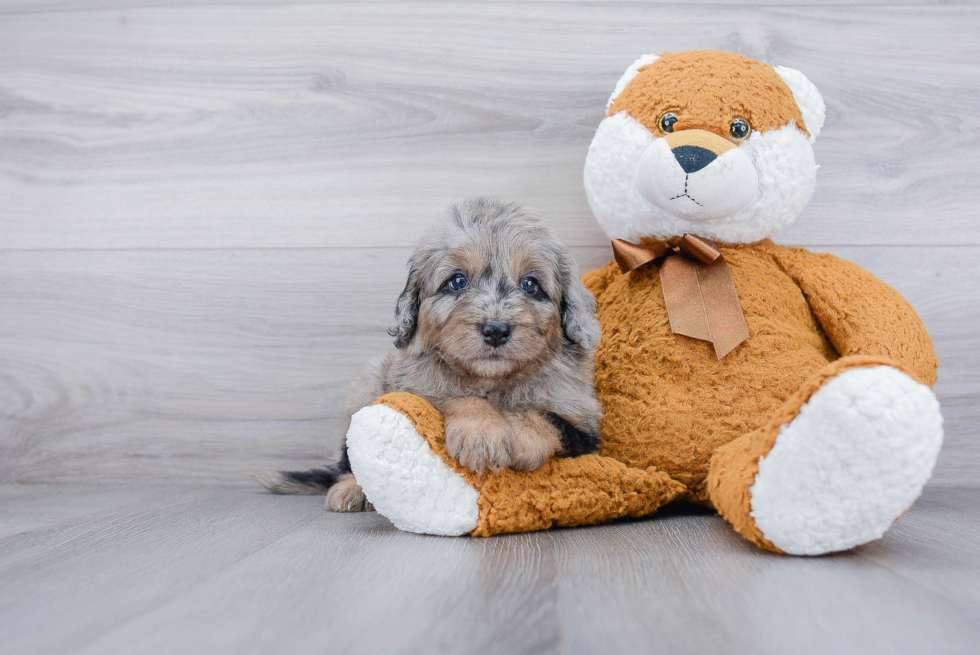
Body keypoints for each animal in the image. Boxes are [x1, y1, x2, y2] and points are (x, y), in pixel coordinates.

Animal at [251, 197, 604, 516]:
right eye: (457, 281)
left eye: (531, 285)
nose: (495, 330)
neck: (492, 382)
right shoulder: (417, 393)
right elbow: (459, 398)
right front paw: (482, 433)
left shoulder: (584, 427)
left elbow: (542, 417)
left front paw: (516, 435)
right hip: (367, 388)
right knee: (346, 459)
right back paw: (350, 491)